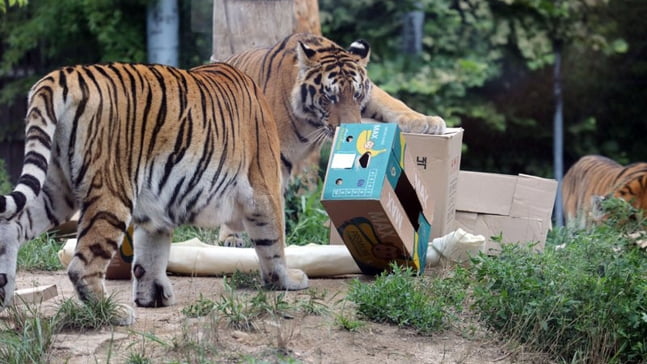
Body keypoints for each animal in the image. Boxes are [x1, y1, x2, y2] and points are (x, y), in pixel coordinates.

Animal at [0, 61, 308, 326]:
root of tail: (60, 76)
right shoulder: (264, 189)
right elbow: (273, 242)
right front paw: (287, 280)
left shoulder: (155, 210)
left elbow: (150, 255)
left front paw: (152, 296)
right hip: (111, 192)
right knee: (81, 266)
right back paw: (112, 312)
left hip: (56, 188)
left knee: (13, 225)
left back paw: (4, 293)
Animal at [218, 32, 446, 247]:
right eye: (330, 97)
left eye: (356, 94)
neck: (311, 121)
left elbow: (392, 102)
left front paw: (427, 122)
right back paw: (230, 236)